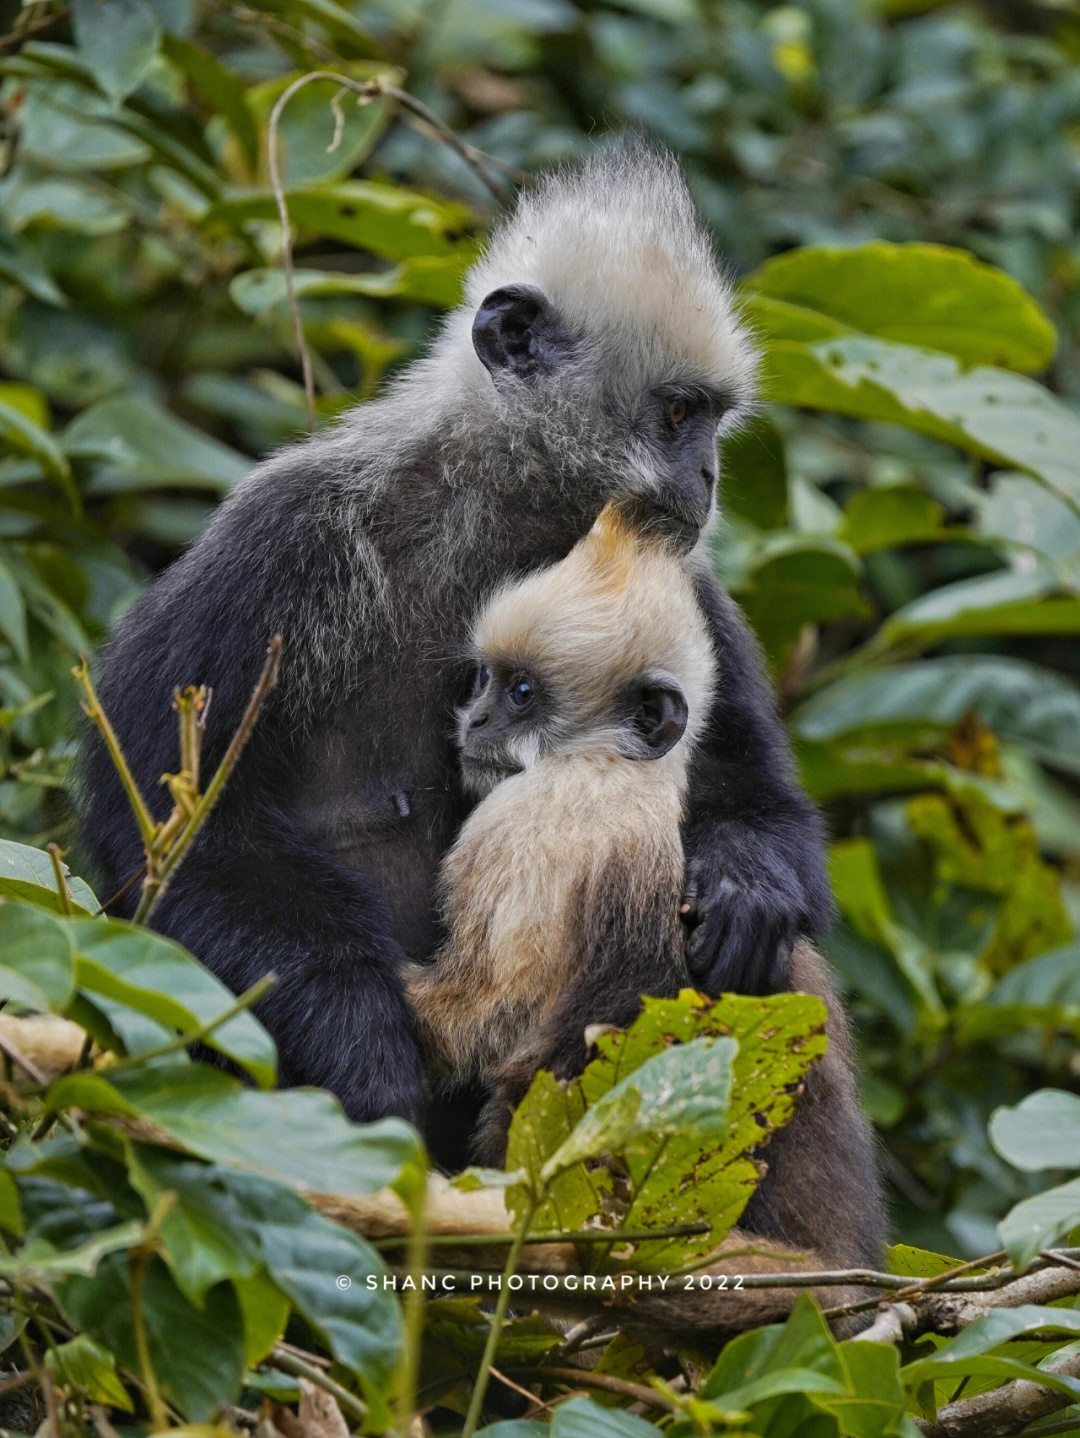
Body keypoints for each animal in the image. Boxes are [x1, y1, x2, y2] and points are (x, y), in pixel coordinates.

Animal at [405, 500, 710, 1161]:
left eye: (521, 693)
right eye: (484, 680)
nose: (475, 720)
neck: (612, 765)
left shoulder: (518, 820)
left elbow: (488, 1014)